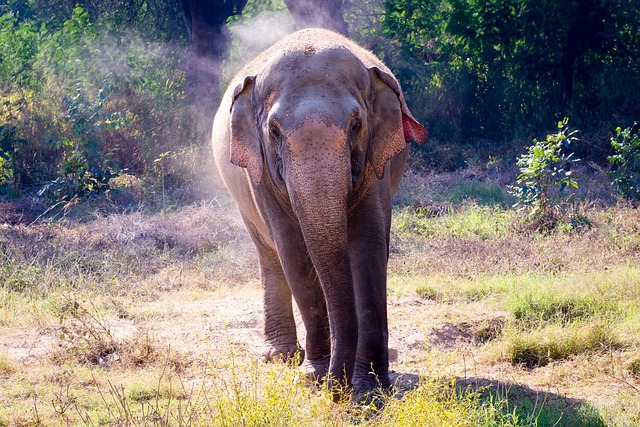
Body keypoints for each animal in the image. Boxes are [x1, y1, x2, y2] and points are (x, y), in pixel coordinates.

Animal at [212, 28, 428, 400]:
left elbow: (369, 248)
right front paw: (313, 376)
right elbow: (294, 252)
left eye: (356, 125)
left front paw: (370, 388)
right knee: (269, 253)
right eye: (274, 131)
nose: (336, 388)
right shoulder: (261, 174)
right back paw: (280, 357)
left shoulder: (376, 164)